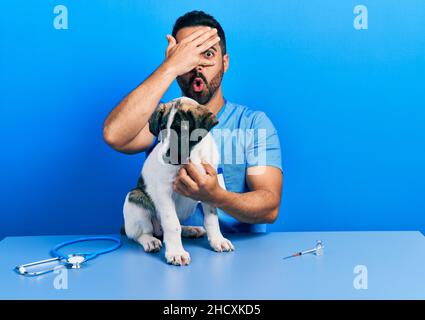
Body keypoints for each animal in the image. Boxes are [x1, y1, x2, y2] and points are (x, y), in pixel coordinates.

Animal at [122, 96, 234, 266]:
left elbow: (212, 219)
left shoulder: (208, 189)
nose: (165, 157)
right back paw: (150, 241)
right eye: (162, 128)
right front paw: (176, 252)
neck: (193, 156)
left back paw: (190, 230)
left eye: (181, 130)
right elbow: (172, 224)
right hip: (134, 199)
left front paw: (217, 240)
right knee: (141, 234)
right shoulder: (165, 192)